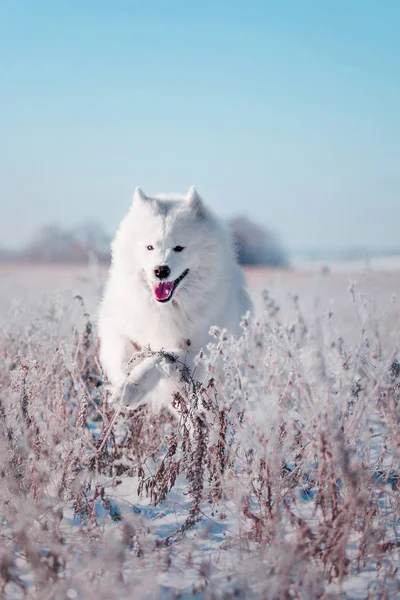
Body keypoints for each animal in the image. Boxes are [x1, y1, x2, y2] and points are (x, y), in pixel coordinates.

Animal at [98, 186, 252, 412]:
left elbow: (159, 358)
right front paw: (124, 380)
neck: (165, 307)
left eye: (179, 248)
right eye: (150, 247)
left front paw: (132, 388)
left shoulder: (195, 354)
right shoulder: (117, 328)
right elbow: (122, 353)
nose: (161, 270)